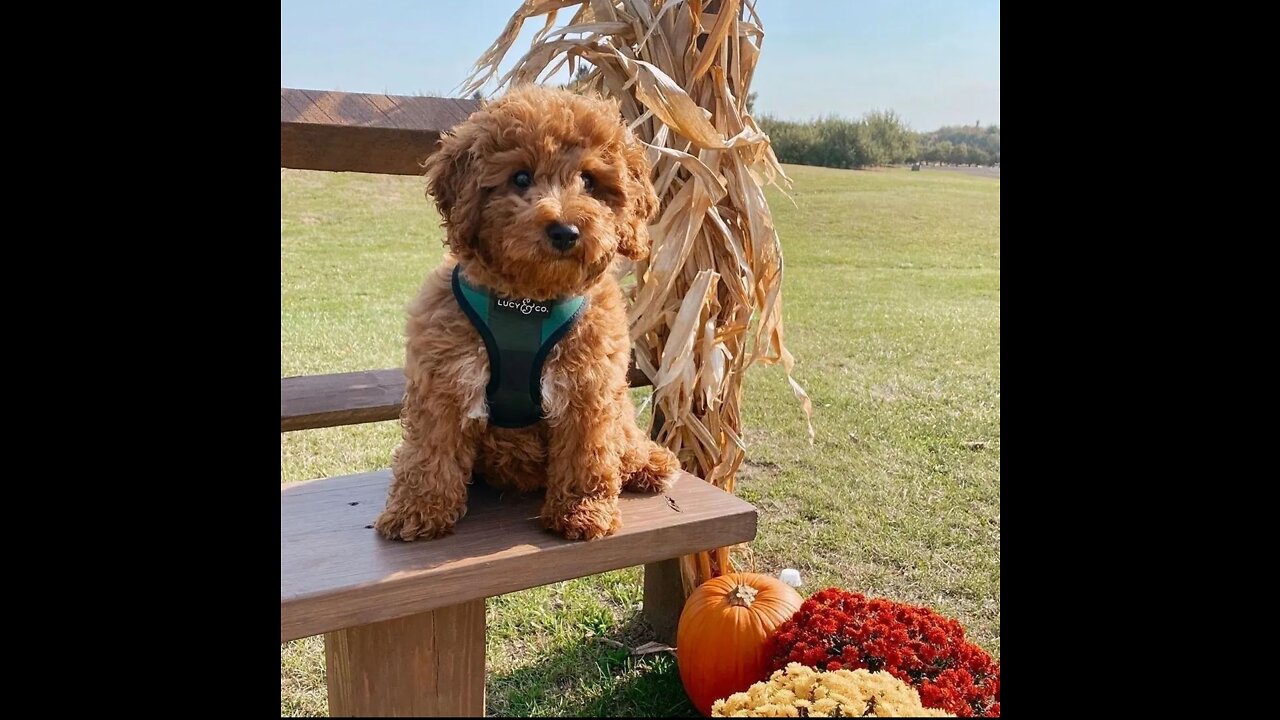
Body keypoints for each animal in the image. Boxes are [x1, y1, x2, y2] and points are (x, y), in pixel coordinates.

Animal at [373, 85, 686, 538]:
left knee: (624, 439)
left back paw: (649, 463)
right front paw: (417, 510)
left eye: (590, 181)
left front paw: (582, 512)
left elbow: (587, 455)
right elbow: (430, 451)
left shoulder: (589, 387)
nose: (565, 231)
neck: (528, 300)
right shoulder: (443, 381)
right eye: (520, 178)